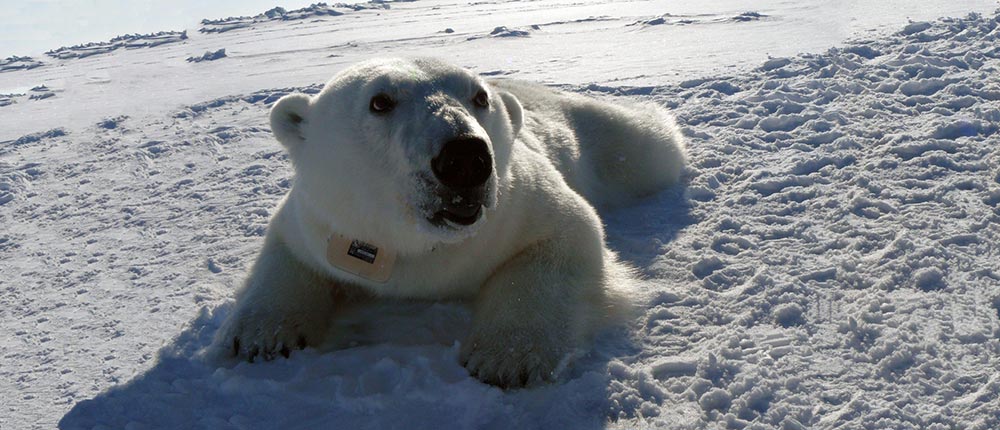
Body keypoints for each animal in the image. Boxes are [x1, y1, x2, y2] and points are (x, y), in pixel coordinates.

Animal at [214, 55, 684, 388]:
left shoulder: (517, 204)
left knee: (648, 147)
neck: (423, 241)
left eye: (479, 98)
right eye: (380, 101)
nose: (465, 157)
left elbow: (564, 235)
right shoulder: (321, 218)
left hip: (601, 137)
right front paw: (261, 336)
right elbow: (286, 254)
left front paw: (506, 357)